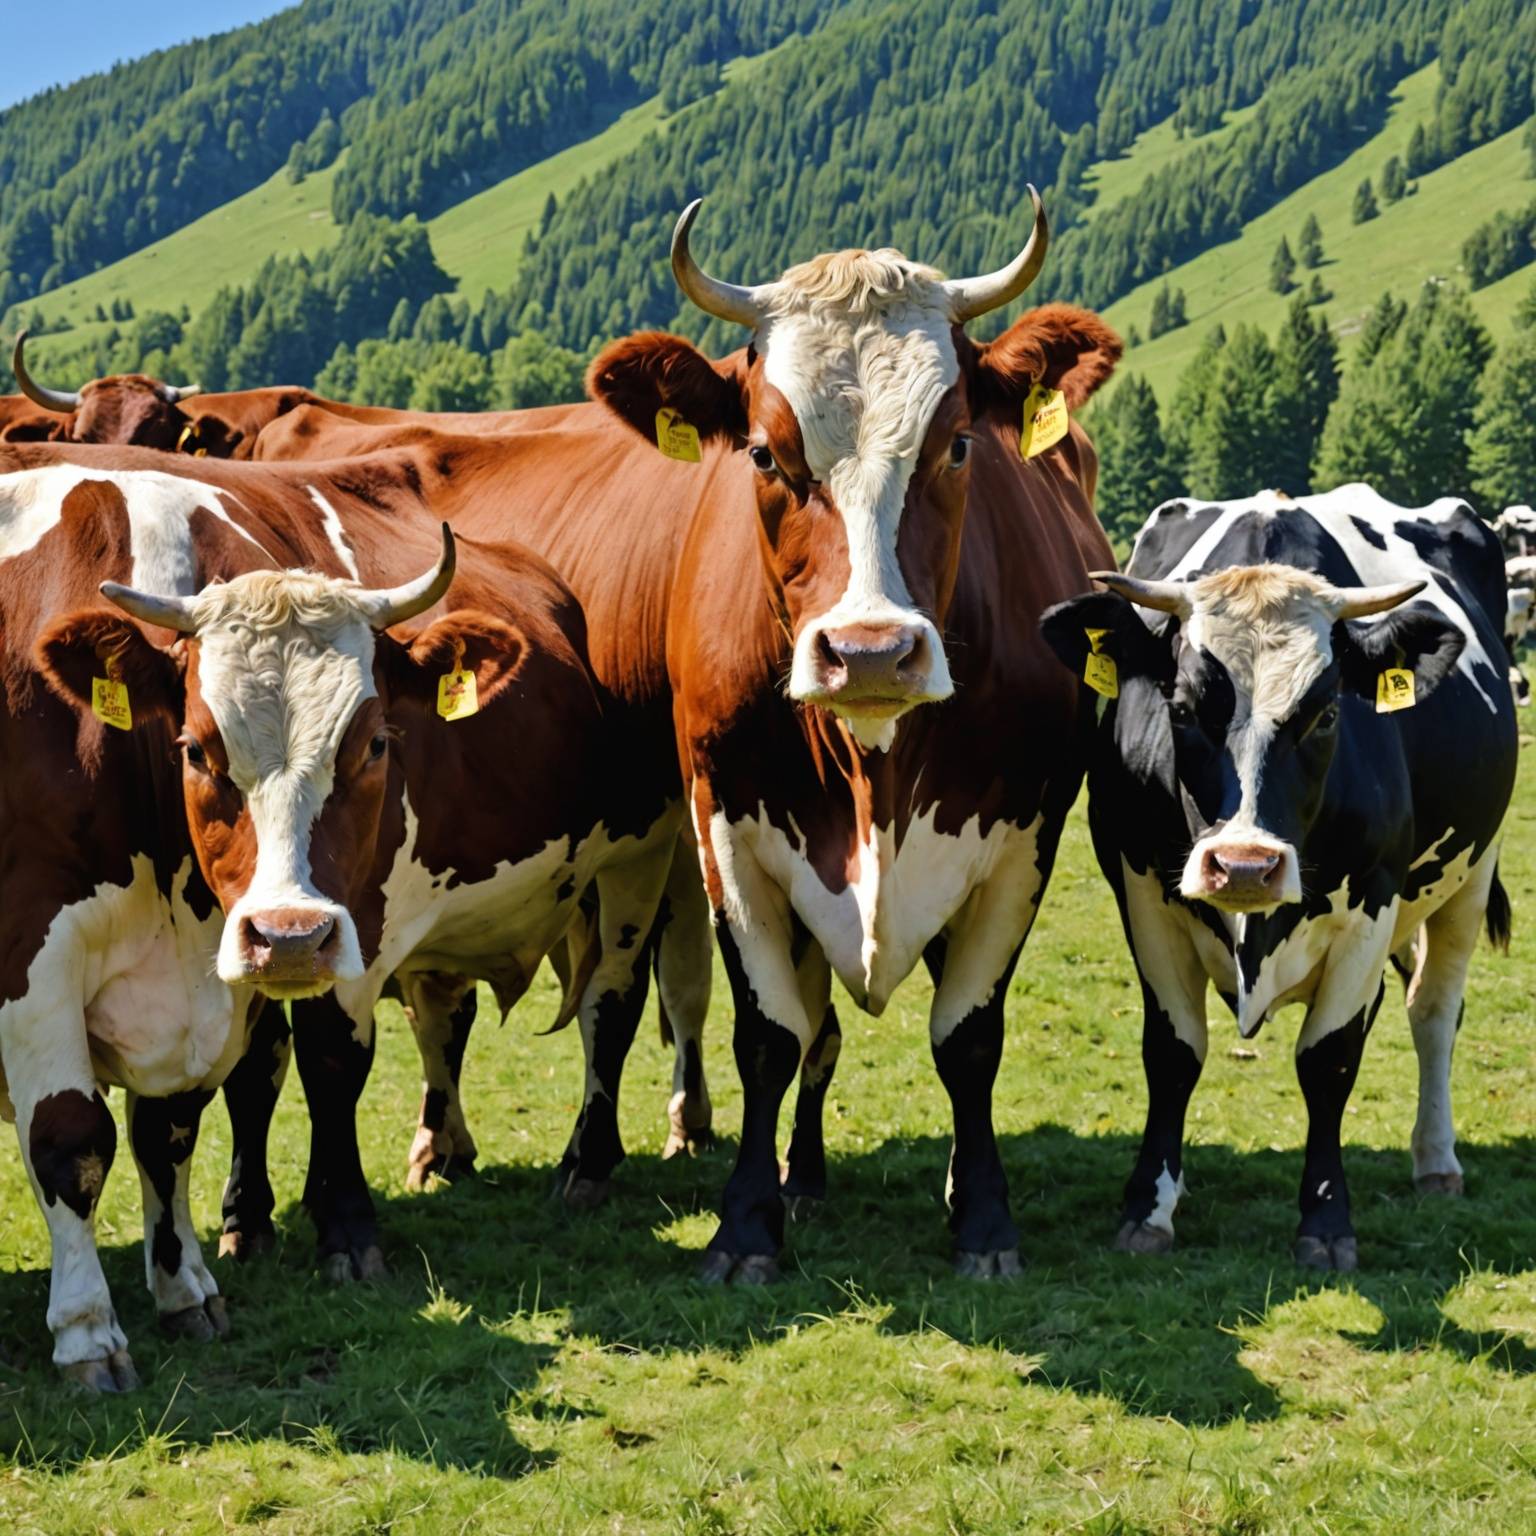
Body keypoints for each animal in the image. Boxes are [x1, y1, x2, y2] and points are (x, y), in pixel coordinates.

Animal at [1040, 487, 1516, 1271]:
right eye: (1180, 708)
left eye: (1325, 714)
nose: (1243, 865)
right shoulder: (1143, 897)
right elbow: (1172, 1052)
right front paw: (1150, 1206)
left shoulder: (1372, 905)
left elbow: (1329, 1061)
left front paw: (1325, 1223)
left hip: (1471, 878)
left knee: (1435, 1010)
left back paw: (1437, 1159)